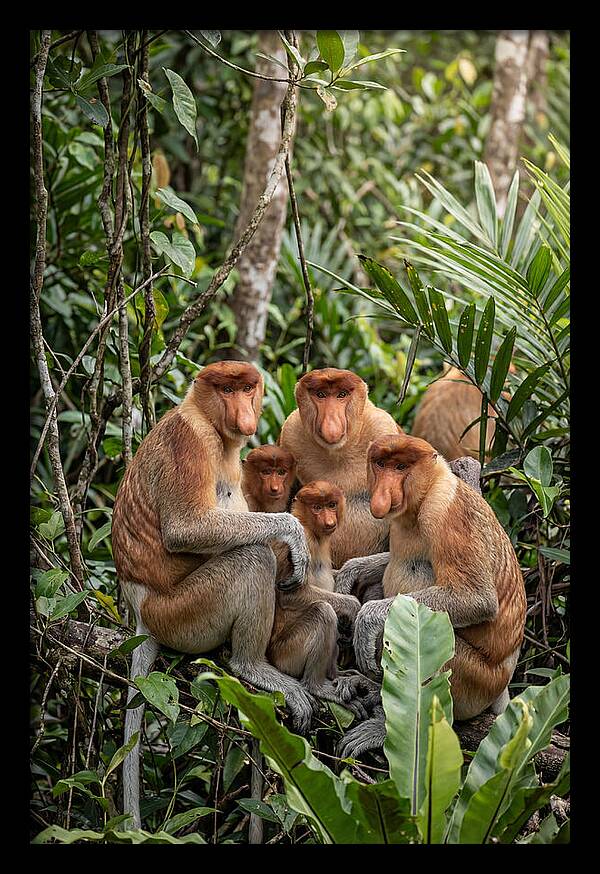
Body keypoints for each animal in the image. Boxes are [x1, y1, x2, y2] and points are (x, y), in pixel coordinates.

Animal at [112, 361, 315, 828]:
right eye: (225, 389)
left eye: (246, 388)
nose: (244, 413)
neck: (206, 419)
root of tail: (141, 612)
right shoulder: (190, 442)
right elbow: (187, 528)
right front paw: (293, 534)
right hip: (183, 613)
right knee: (251, 558)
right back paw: (250, 666)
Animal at [279, 368, 404, 571]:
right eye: (321, 394)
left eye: (341, 395)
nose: (331, 424)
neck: (337, 452)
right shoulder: (290, 433)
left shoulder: (383, 427)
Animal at [337, 434, 526, 759]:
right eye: (381, 464)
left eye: (401, 467)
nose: (383, 493)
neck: (424, 495)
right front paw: (350, 572)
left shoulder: (446, 513)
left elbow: (476, 598)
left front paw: (368, 619)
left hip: (475, 682)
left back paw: (386, 727)